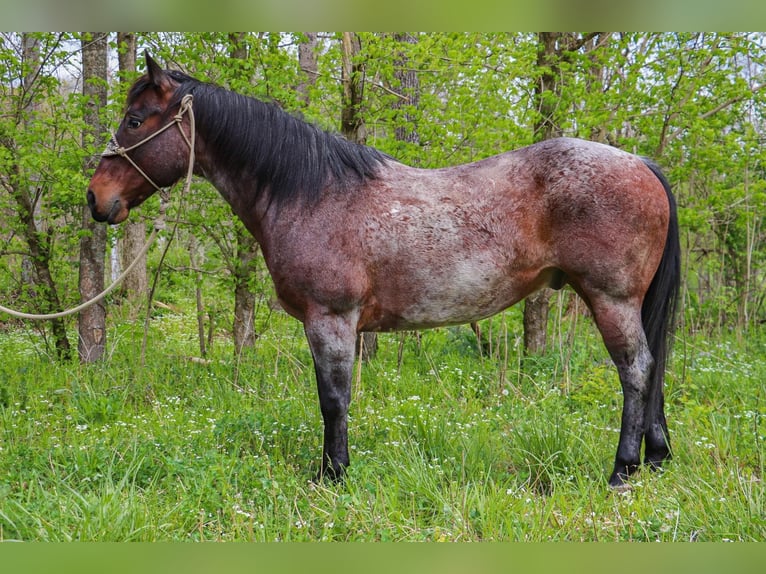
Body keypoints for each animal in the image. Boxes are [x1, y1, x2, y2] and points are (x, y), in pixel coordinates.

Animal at [87, 54, 680, 488]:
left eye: (135, 121)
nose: (96, 198)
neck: (312, 194)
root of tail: (640, 163)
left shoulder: (331, 318)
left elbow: (333, 399)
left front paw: (332, 474)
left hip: (610, 299)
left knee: (637, 371)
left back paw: (622, 470)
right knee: (651, 369)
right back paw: (655, 458)